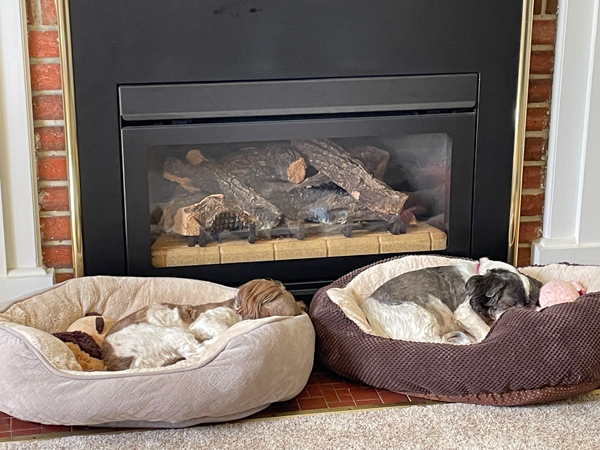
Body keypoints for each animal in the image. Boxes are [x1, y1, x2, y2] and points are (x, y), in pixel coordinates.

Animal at [102, 280, 304, 370]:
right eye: (266, 314)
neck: (237, 314)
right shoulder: (204, 321)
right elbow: (223, 331)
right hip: (172, 334)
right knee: (199, 350)